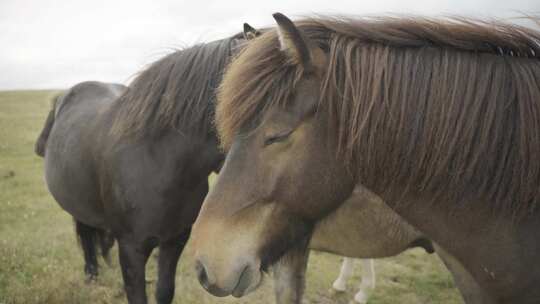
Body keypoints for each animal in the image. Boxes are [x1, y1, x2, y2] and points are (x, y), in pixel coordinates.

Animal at [34, 33, 244, 304]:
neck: (161, 164)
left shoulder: (175, 240)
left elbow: (164, 291)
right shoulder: (131, 248)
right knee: (86, 235)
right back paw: (91, 276)